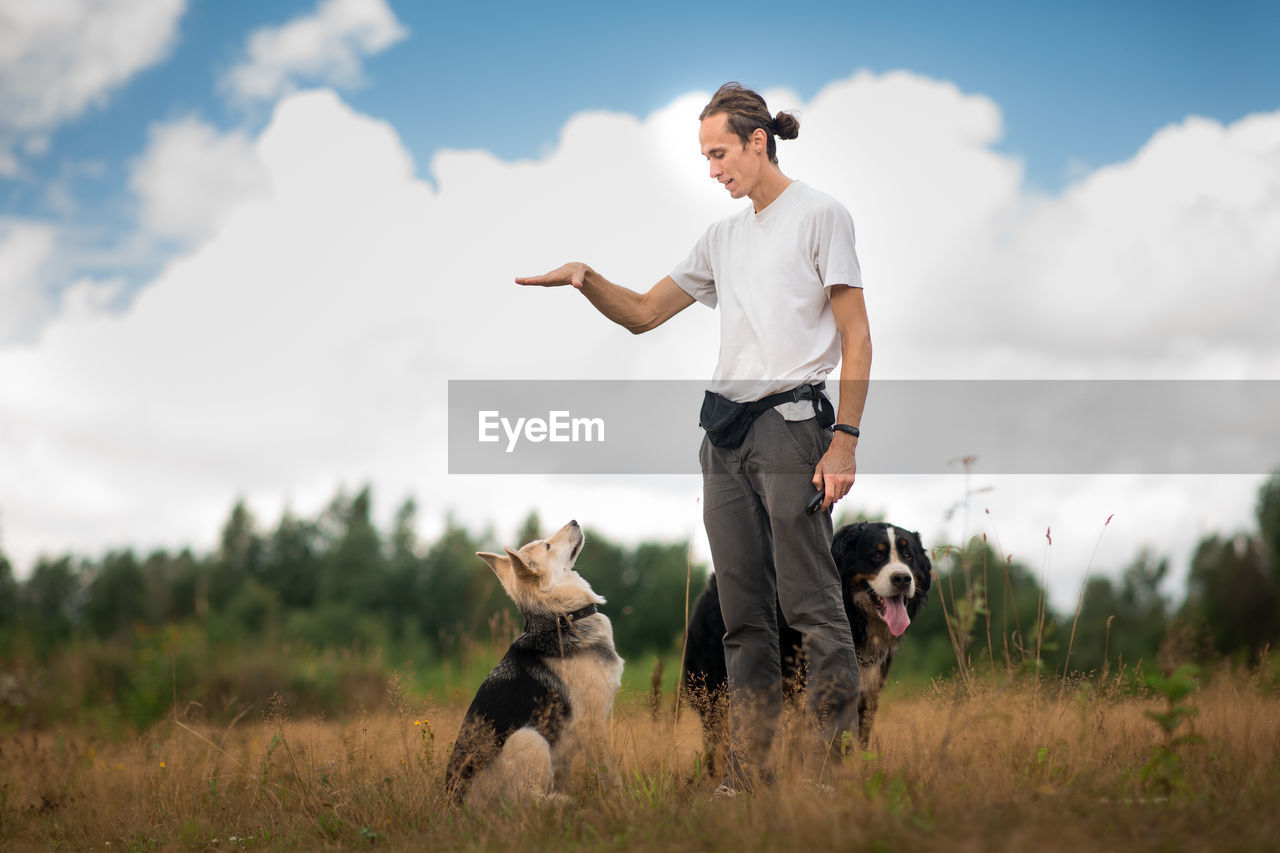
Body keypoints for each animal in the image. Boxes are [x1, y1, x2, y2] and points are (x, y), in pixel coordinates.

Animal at [445, 517, 624, 804]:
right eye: (548, 545)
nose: (574, 520)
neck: (562, 618)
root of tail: (455, 803)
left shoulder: (566, 751)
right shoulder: (591, 726)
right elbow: (613, 776)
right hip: (529, 737)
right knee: (529, 800)